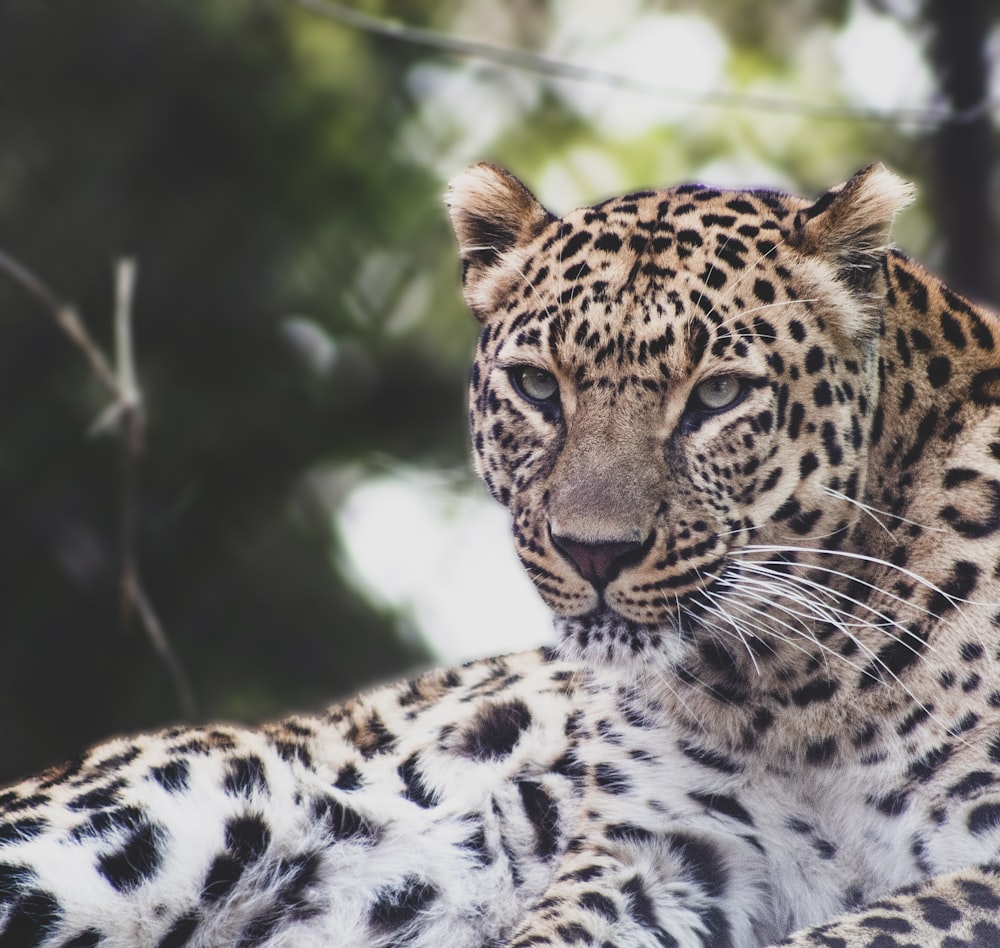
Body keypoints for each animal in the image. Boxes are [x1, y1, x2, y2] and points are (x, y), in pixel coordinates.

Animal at [5, 159, 1000, 944]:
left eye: (717, 395)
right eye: (536, 386)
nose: (594, 553)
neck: (798, 695)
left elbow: (865, 927)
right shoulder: (662, 851)